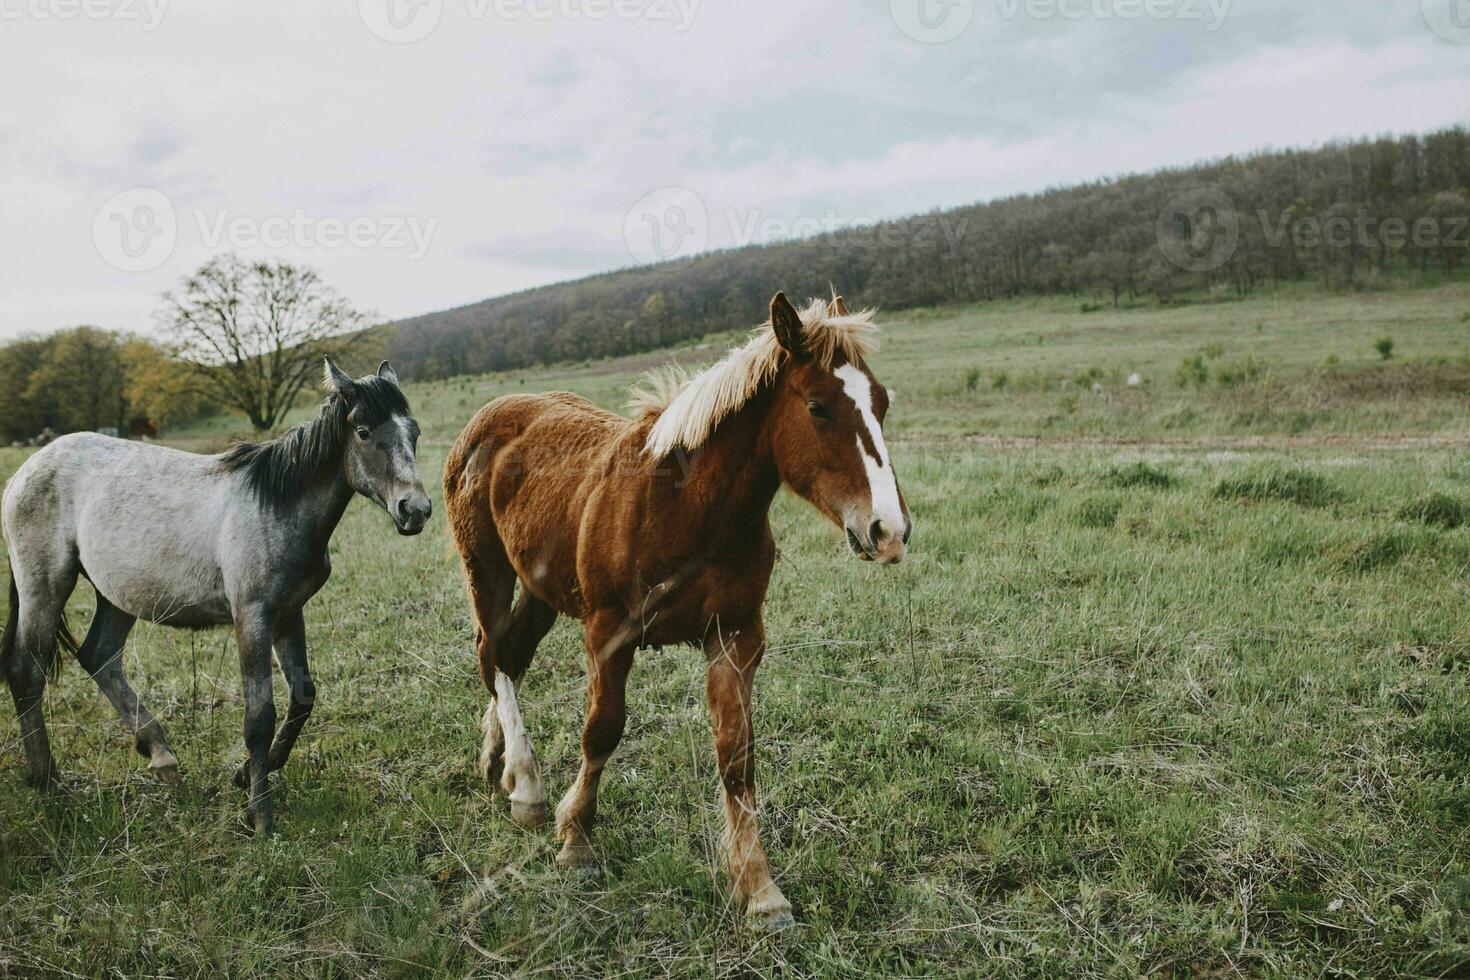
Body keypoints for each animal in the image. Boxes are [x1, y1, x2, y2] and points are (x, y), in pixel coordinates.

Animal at [2, 357, 429, 834]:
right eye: (363, 432)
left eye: (413, 432)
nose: (415, 510)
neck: (276, 505)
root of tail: (27, 470)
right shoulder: (253, 616)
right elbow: (259, 717)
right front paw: (261, 816)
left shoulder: (288, 613)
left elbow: (302, 698)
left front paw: (246, 775)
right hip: (45, 586)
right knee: (27, 671)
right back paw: (47, 780)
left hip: (116, 595)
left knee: (99, 656)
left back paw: (160, 755)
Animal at [441, 289, 911, 928]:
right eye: (817, 408)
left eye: (881, 401)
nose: (889, 531)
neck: (685, 505)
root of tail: (488, 417)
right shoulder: (609, 632)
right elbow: (602, 730)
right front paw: (577, 839)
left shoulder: (737, 634)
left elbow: (736, 755)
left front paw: (759, 889)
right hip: (486, 569)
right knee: (492, 656)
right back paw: (529, 788)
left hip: (540, 588)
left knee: (509, 659)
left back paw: (501, 764)